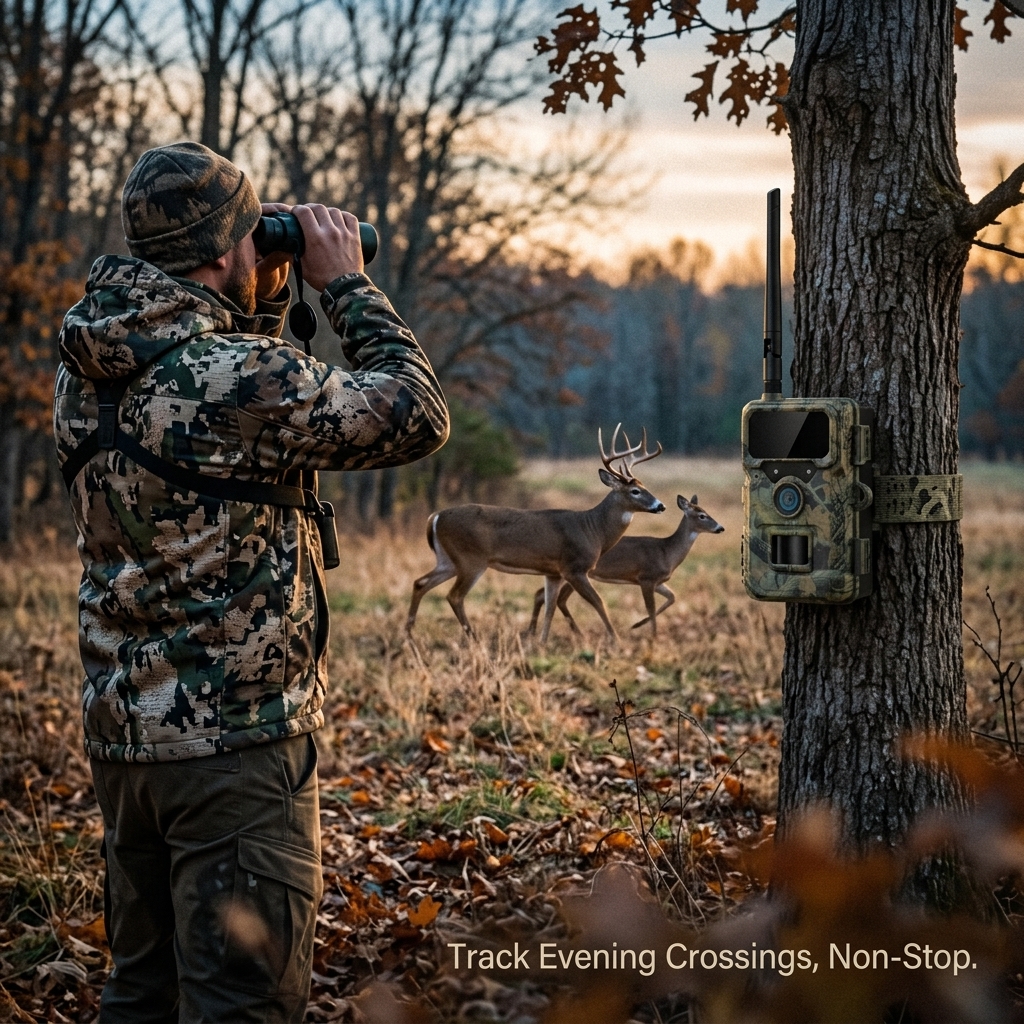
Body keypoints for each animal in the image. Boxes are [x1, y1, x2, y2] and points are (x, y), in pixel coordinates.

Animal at [406, 426, 665, 643]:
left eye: (645, 487)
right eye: (635, 491)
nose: (660, 505)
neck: (594, 530)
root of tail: (435, 517)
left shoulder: (554, 572)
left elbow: (549, 606)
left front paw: (541, 642)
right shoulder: (574, 567)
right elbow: (598, 602)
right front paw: (615, 640)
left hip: (448, 560)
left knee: (421, 583)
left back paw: (409, 633)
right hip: (471, 559)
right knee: (454, 596)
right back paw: (472, 637)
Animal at [528, 494, 725, 638]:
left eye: (705, 512)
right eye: (702, 515)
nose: (720, 528)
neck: (666, 551)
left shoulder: (657, 581)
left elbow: (672, 597)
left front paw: (637, 625)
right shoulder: (646, 578)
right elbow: (651, 608)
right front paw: (652, 637)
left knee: (547, 596)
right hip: (574, 571)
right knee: (550, 596)